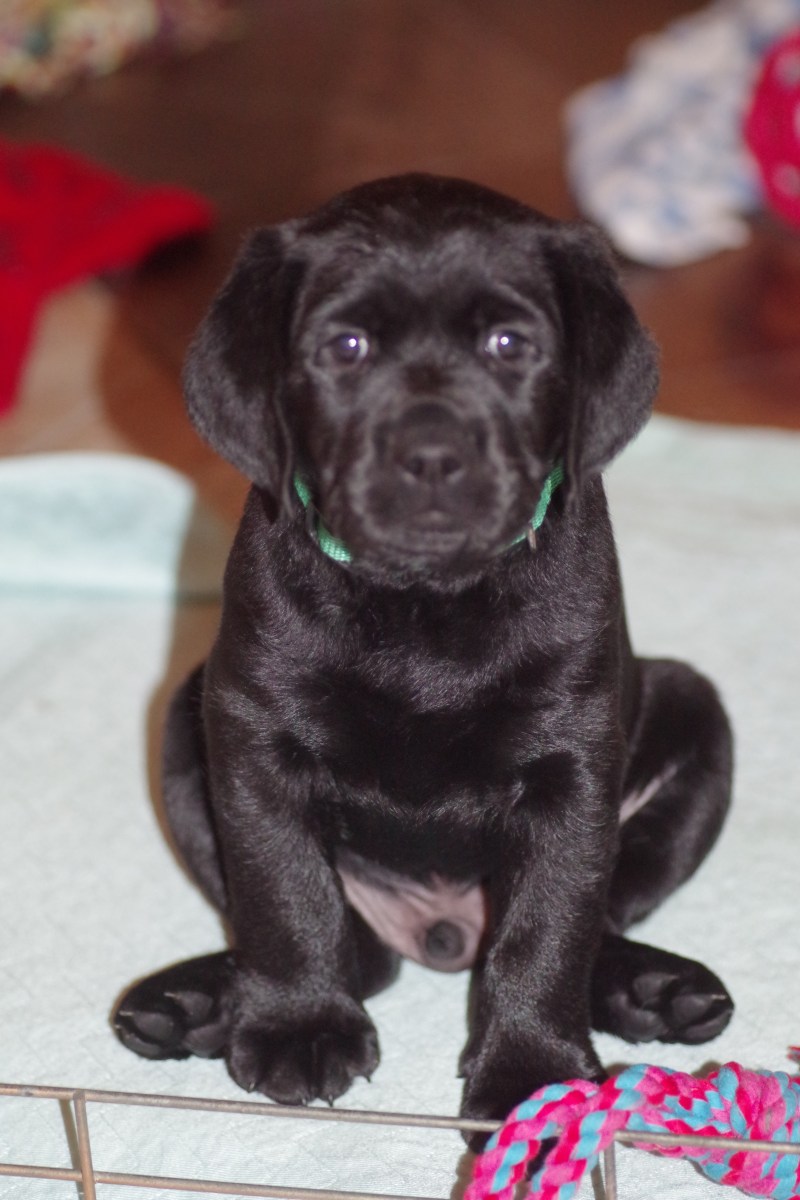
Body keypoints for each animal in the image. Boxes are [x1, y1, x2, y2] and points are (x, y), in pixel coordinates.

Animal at [113, 174, 734, 1134]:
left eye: (511, 344)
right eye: (347, 347)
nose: (433, 456)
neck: (425, 604)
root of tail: (441, 930)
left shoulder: (571, 761)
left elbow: (547, 927)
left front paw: (532, 1073)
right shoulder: (251, 732)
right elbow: (287, 896)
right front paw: (300, 1027)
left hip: (696, 716)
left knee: (597, 923)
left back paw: (652, 990)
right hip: (184, 719)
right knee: (360, 951)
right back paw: (197, 1003)